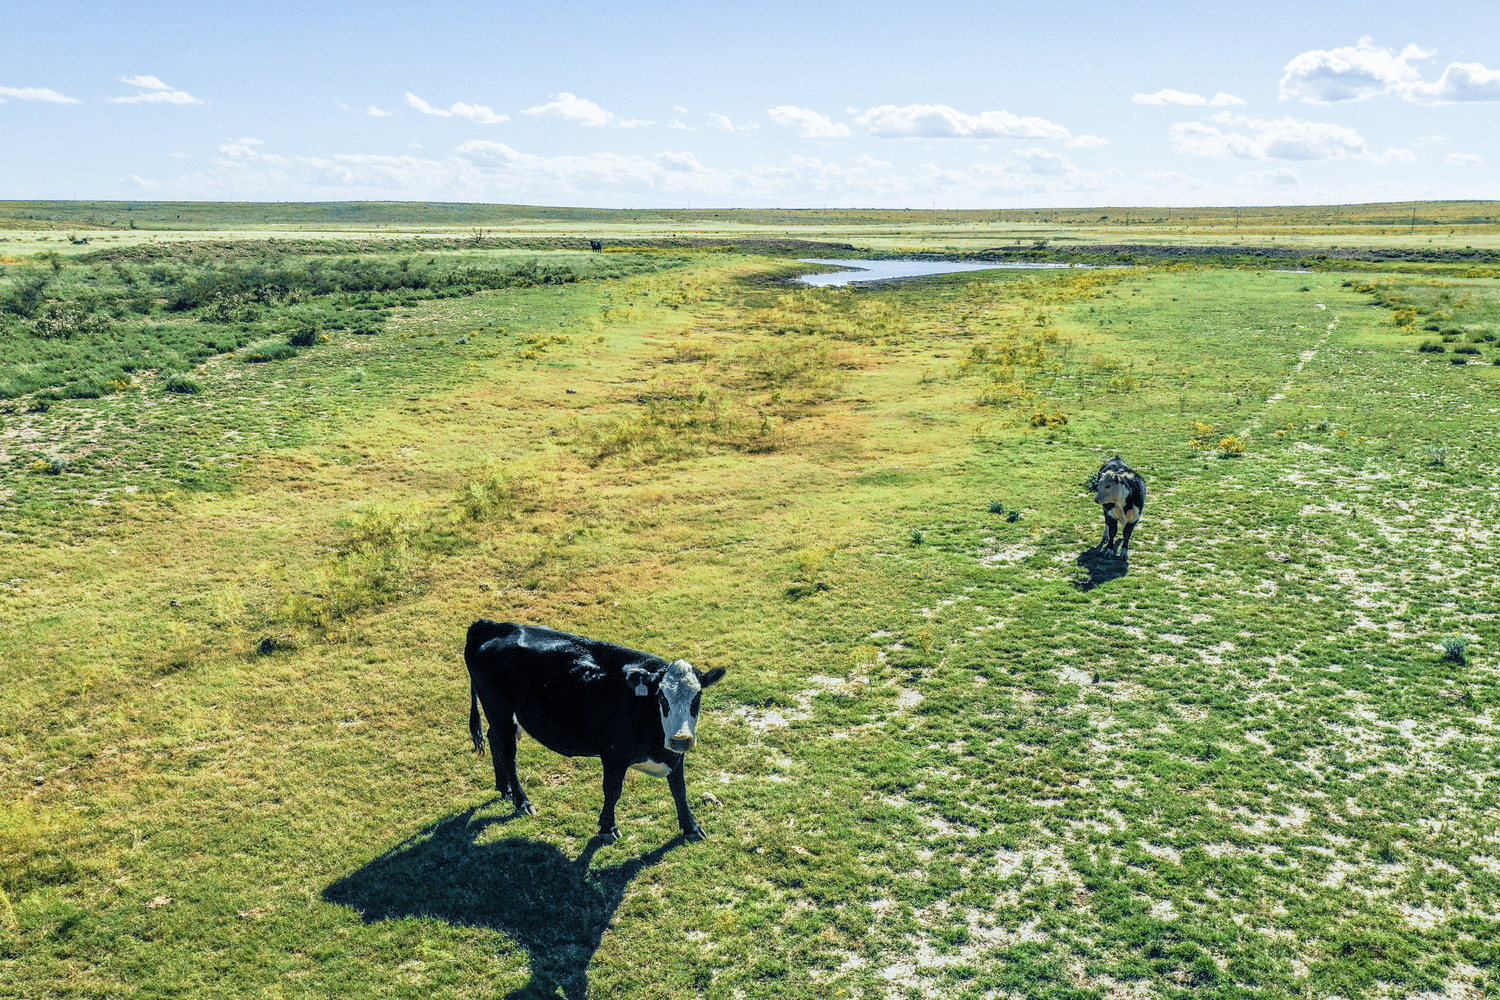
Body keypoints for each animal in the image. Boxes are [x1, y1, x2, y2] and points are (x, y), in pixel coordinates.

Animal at [464, 620, 726, 844]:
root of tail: (493, 625)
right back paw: (521, 801)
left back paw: (505, 788)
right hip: (500, 711)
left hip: (502, 716)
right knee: (509, 754)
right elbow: (612, 791)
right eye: (661, 698)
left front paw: (691, 827)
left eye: (697, 697)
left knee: (493, 739)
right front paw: (607, 828)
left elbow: (679, 789)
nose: (680, 739)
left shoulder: (674, 755)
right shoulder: (613, 754)